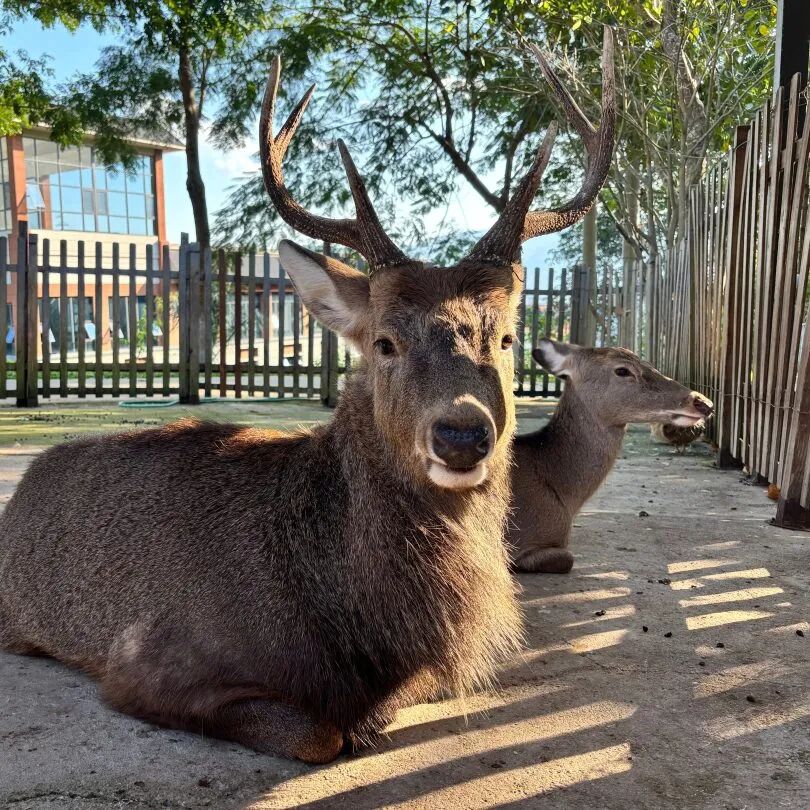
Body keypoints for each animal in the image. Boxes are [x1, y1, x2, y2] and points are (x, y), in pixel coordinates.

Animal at [0, 31, 615, 763]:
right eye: (384, 342)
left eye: (507, 336)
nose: (462, 435)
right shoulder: (145, 662)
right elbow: (320, 734)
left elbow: (387, 708)